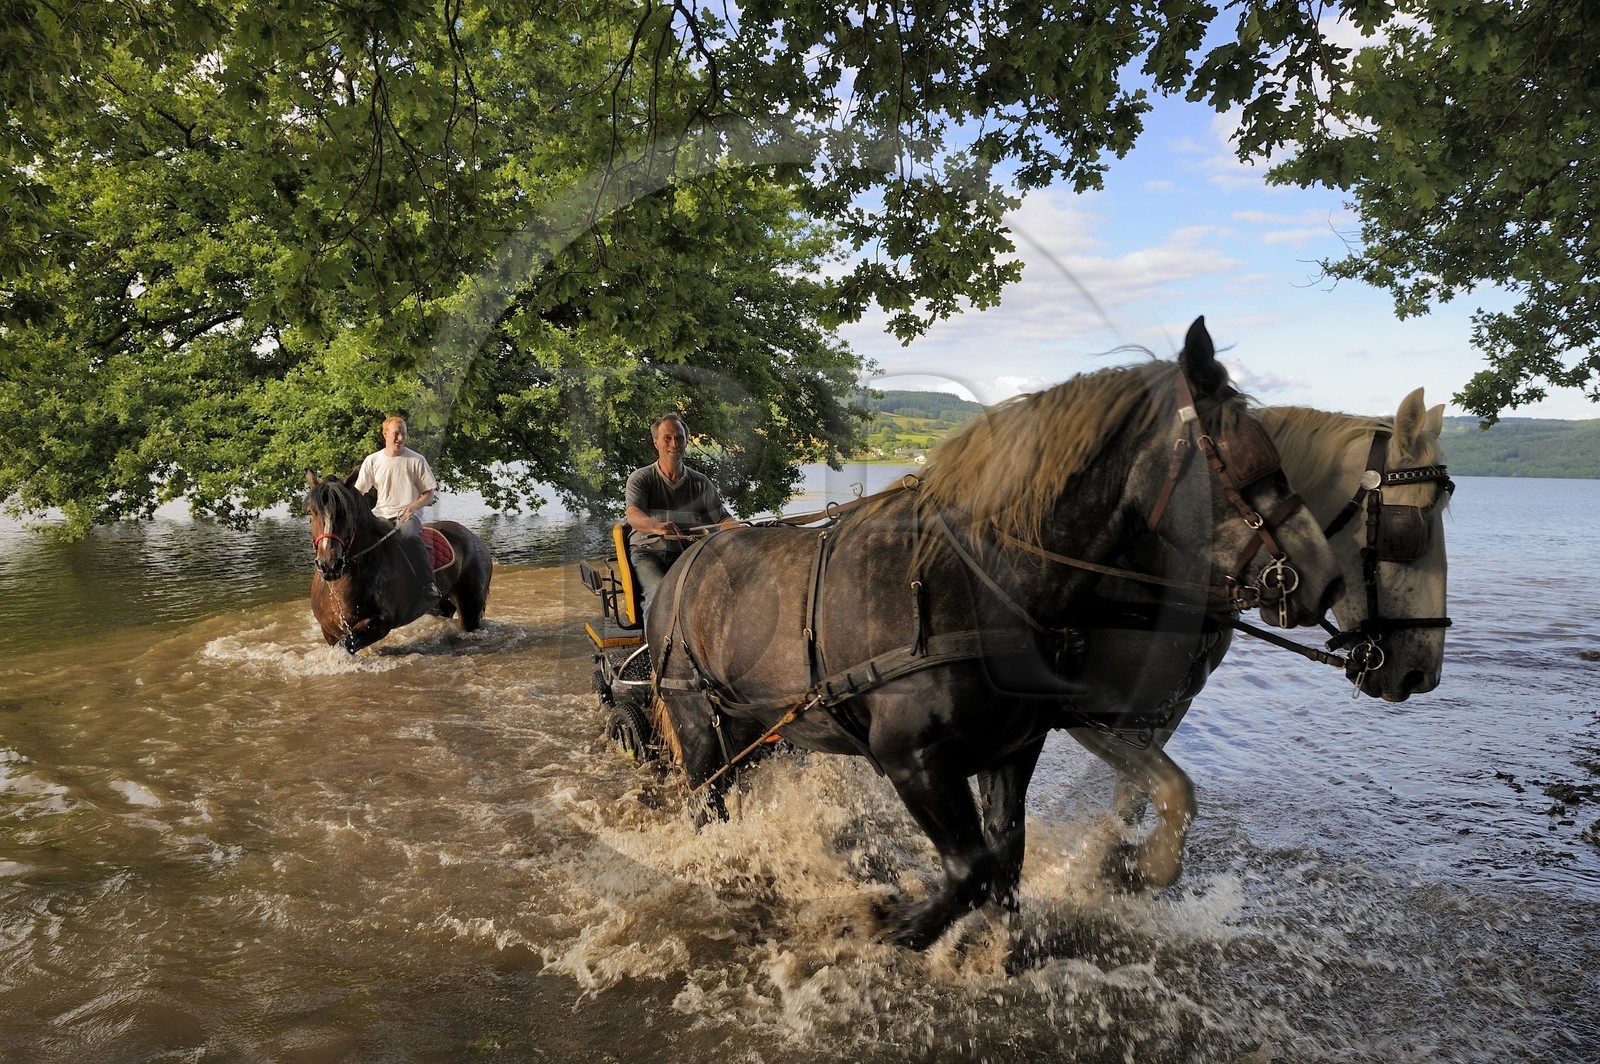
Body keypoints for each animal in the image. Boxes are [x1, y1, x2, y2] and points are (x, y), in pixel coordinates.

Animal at [304, 471, 493, 653]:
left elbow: (347, 646)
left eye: (345, 511)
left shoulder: (380, 623)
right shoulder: (329, 631)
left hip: (470, 605)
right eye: (310, 512)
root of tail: (474, 538)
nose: (329, 564)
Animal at [648, 317, 1346, 949]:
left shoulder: (1014, 747)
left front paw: (1002, 947)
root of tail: (690, 551)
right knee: (705, 802)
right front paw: (900, 925)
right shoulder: (914, 760)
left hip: (755, 724)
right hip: (696, 717)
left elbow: (1007, 857)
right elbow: (970, 868)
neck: (979, 581)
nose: (1324, 578)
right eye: (1240, 459)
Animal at [1058, 388, 1451, 894]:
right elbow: (1174, 794)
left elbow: (1141, 800)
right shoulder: (1077, 707)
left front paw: (1119, 867)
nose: (1422, 673)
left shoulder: (1158, 711)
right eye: (1409, 532)